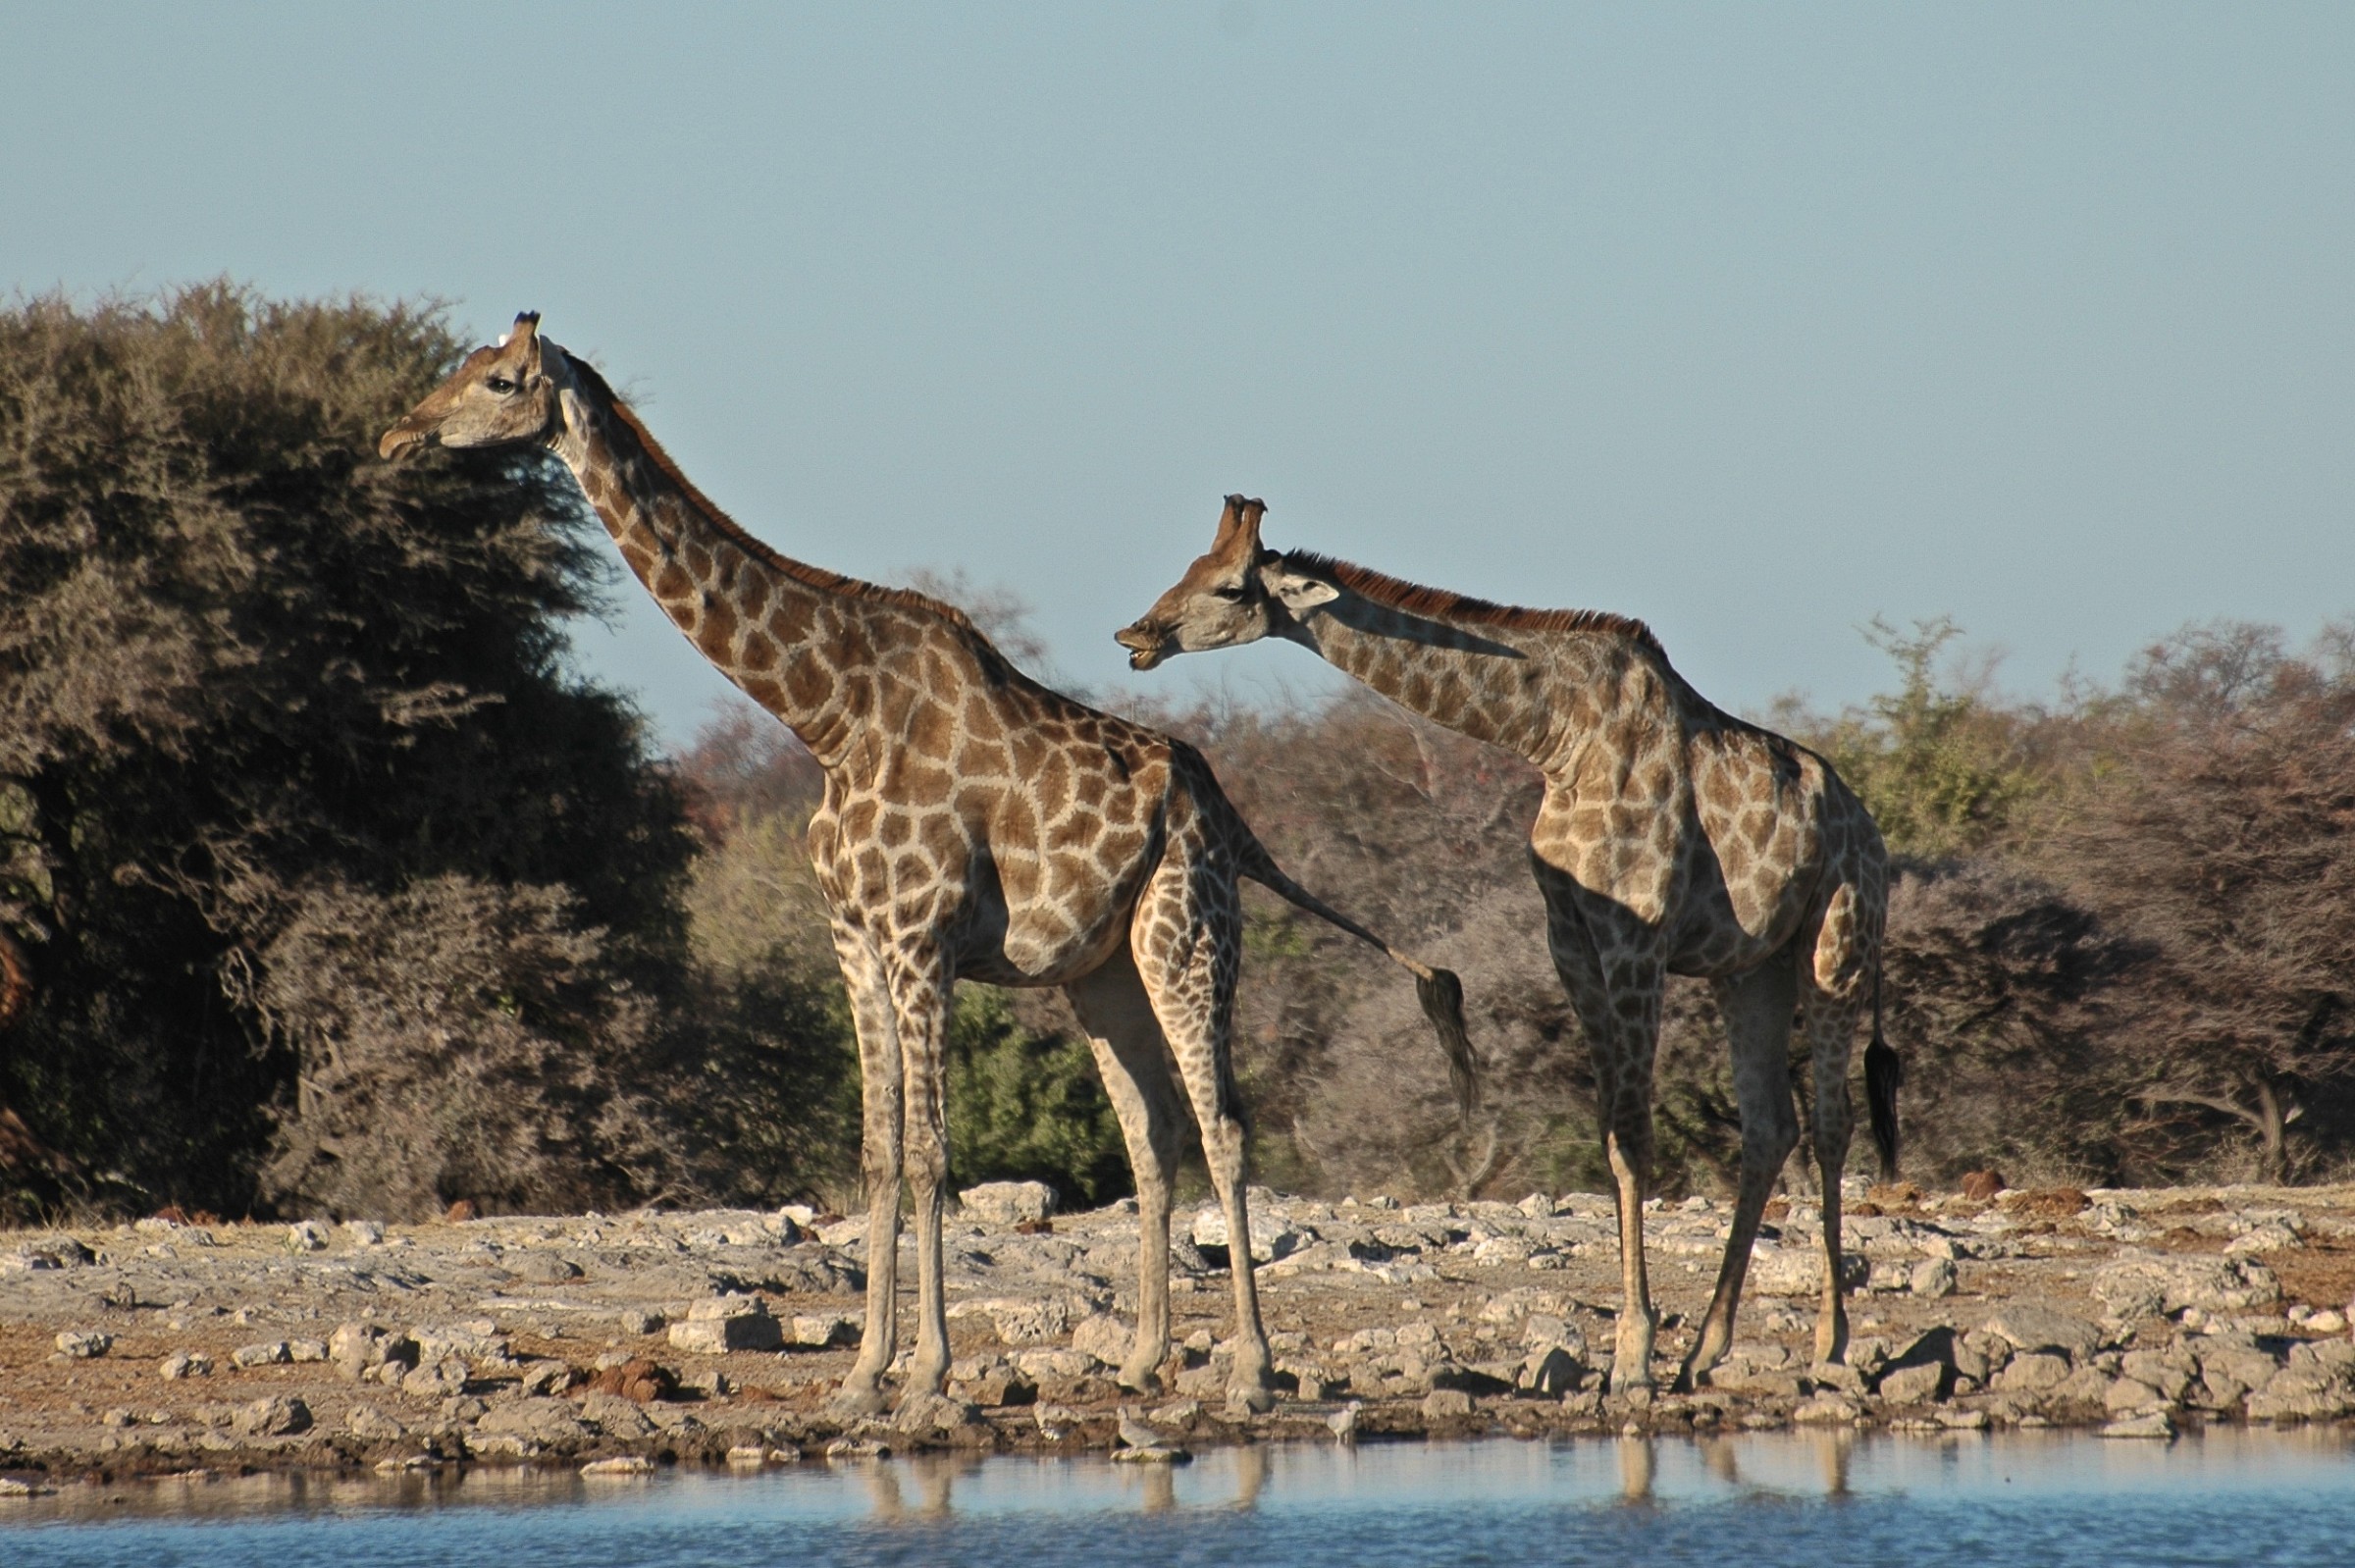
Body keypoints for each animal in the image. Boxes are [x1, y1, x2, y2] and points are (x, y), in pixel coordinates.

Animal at [379, 323, 1477, 1415]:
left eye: (500, 380)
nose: (398, 434)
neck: (827, 717)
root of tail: (1228, 812)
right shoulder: (855, 941)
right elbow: (877, 1154)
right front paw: (865, 1373)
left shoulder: (920, 940)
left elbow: (931, 1156)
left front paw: (927, 1375)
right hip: (1103, 969)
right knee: (1153, 1130)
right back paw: (1139, 1358)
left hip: (1190, 934)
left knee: (1224, 1127)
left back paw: (1250, 1368)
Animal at [1117, 496, 1900, 1393]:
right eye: (1190, 569)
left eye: (1231, 586)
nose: (1137, 634)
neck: (1555, 737)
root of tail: (1872, 833)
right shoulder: (1572, 944)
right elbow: (1613, 1135)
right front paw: (1636, 1351)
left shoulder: (1636, 942)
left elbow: (1634, 1135)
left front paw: (1632, 1355)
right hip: (1753, 970)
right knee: (1772, 1125)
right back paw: (1706, 1349)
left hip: (1837, 943)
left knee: (1834, 1122)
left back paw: (1830, 1344)